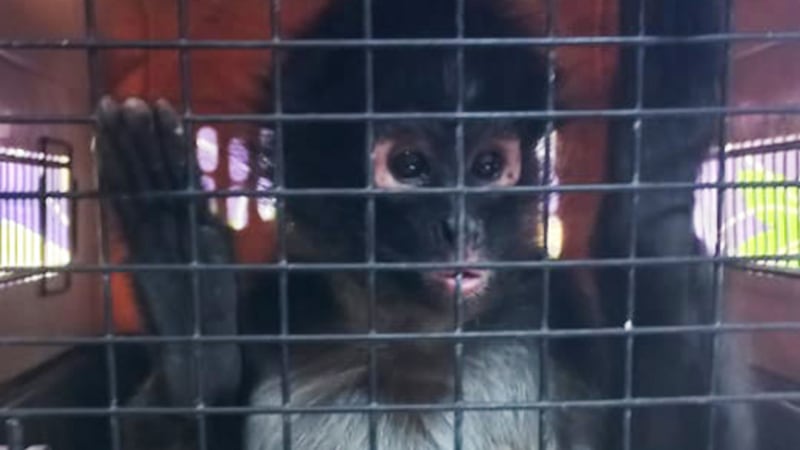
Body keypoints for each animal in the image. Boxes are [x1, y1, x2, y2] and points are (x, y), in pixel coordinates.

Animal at [95, 0, 756, 449]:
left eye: (487, 166)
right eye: (409, 166)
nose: (460, 225)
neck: (415, 335)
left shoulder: (554, 305)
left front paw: (655, 191)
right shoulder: (276, 303)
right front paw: (189, 327)